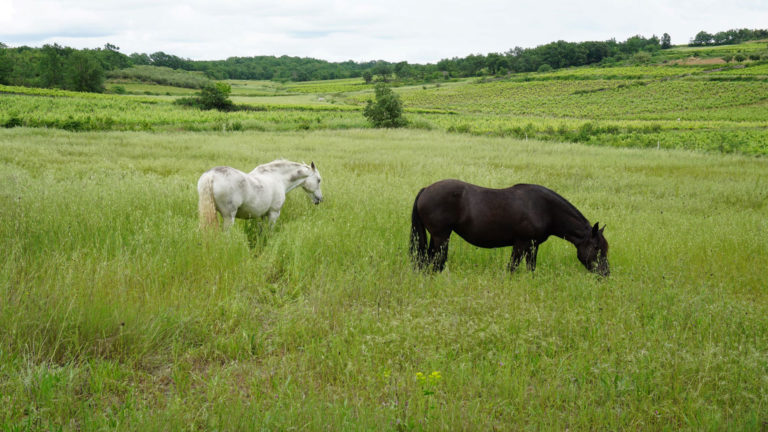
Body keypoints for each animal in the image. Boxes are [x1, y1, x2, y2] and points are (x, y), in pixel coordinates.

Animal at [412, 180, 608, 276]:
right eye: (597, 248)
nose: (605, 273)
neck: (544, 209)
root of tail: (425, 190)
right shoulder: (521, 243)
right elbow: (512, 268)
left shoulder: (533, 246)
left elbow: (531, 268)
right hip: (441, 236)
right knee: (434, 260)